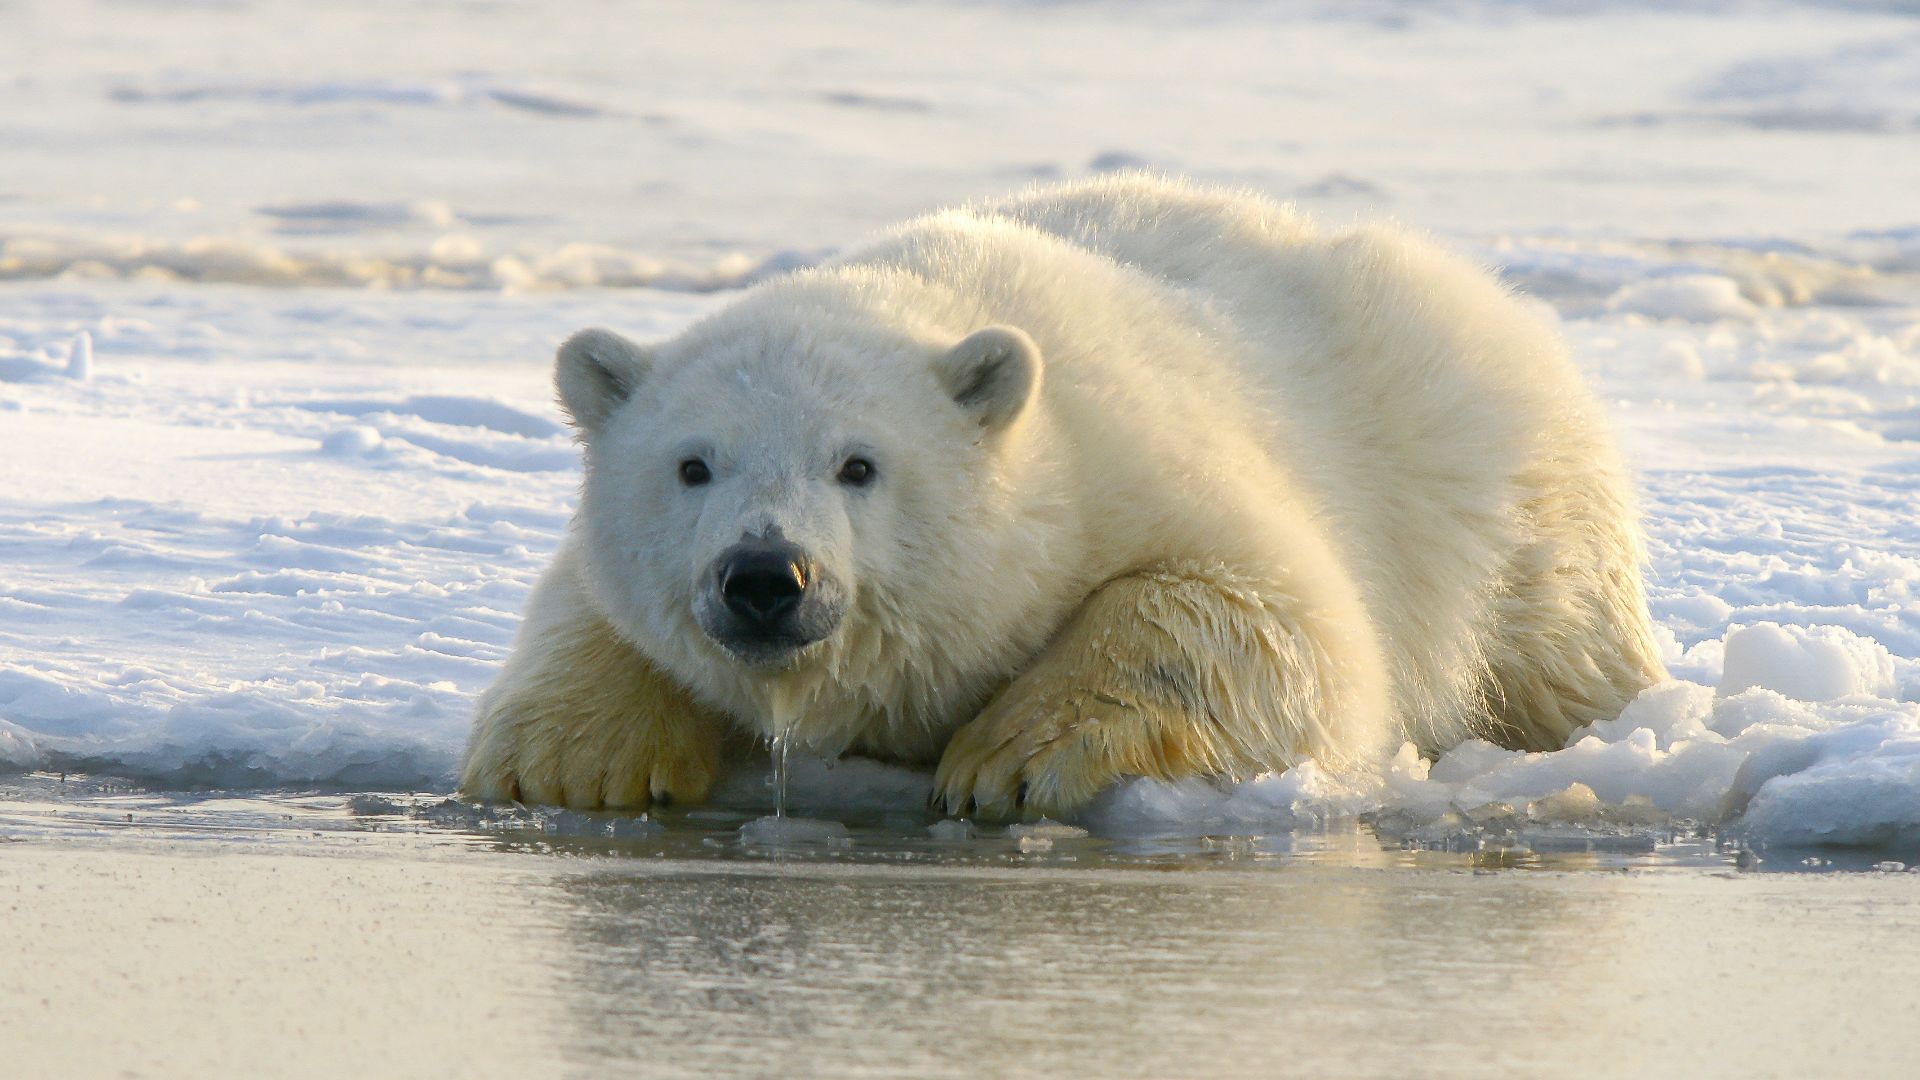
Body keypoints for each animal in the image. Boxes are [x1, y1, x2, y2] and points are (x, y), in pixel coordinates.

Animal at [458, 174, 1667, 818]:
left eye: (859, 464)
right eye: (692, 464)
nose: (766, 577)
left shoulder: (1136, 461)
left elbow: (1272, 618)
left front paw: (1009, 759)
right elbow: (585, 604)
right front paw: (571, 762)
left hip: (1494, 483)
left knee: (1556, 640)